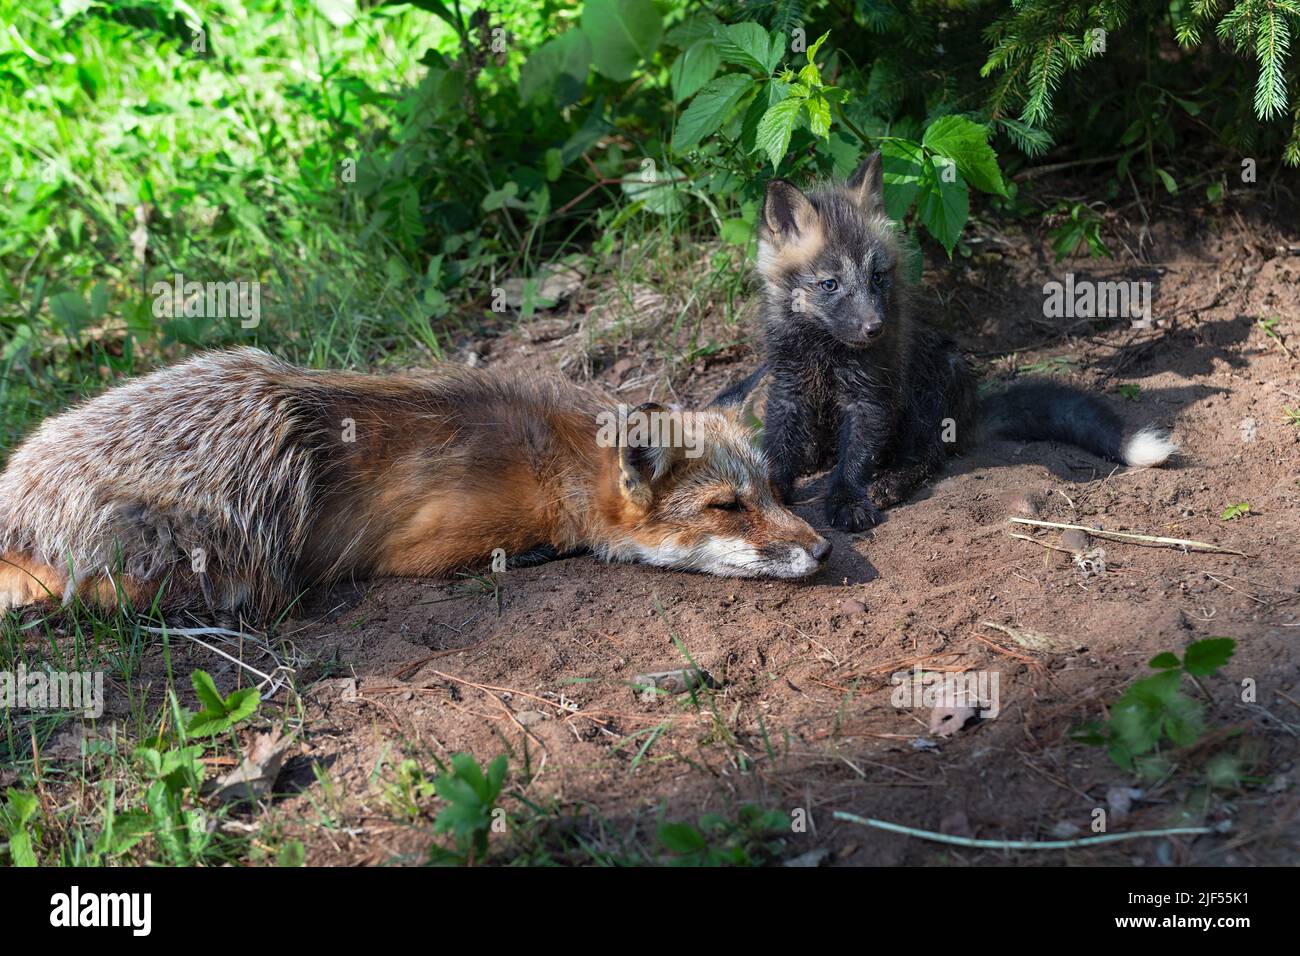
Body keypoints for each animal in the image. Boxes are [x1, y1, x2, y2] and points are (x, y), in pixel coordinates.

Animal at [0, 348, 831, 620]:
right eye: (728, 507)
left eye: (776, 493)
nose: (824, 552)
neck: (552, 462)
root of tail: (21, 479)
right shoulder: (421, 547)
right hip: (262, 470)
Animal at [715, 151, 1177, 532]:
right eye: (829, 284)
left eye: (877, 277)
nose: (875, 328)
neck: (825, 349)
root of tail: (973, 408)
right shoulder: (789, 385)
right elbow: (780, 447)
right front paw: (774, 488)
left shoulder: (872, 396)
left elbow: (857, 459)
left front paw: (848, 500)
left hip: (932, 387)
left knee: (928, 456)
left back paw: (891, 483)